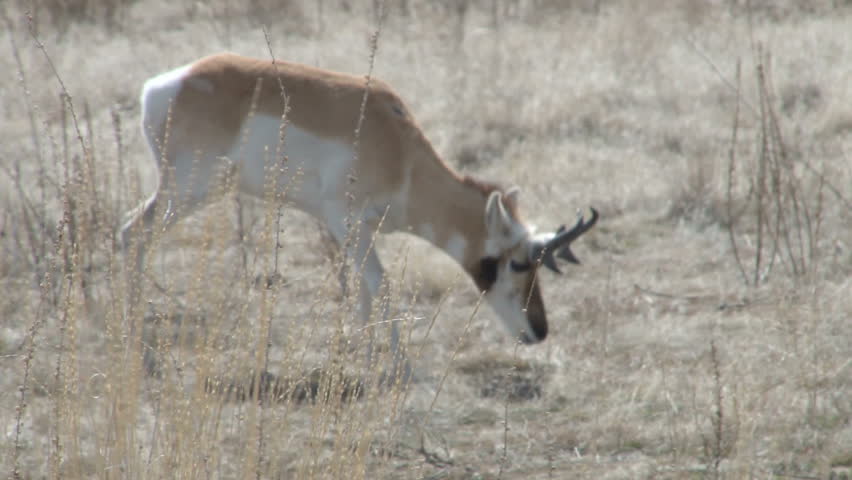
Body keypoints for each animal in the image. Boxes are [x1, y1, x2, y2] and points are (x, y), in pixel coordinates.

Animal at [121, 52, 597, 360]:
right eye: (516, 262)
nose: (539, 331)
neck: (400, 149)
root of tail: (164, 86)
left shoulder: (361, 231)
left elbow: (365, 289)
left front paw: (364, 358)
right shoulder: (346, 222)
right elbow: (383, 285)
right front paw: (400, 368)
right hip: (187, 193)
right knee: (132, 232)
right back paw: (136, 338)